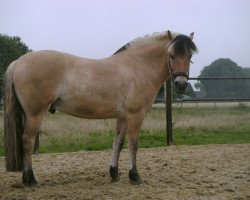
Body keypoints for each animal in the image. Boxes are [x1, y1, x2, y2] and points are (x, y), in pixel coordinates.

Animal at [3, 30, 197, 186]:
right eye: (171, 55)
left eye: (189, 57)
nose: (181, 84)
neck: (138, 66)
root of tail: (18, 62)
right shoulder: (136, 115)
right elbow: (133, 144)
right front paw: (134, 176)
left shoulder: (123, 116)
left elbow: (118, 143)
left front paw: (114, 174)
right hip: (35, 114)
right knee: (27, 141)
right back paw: (31, 180)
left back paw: (26, 179)